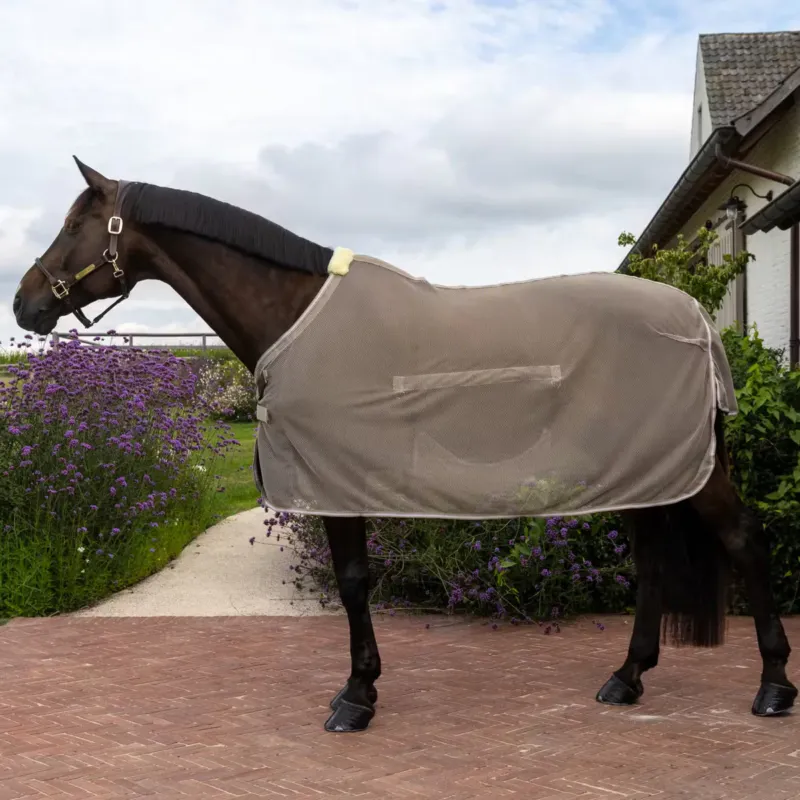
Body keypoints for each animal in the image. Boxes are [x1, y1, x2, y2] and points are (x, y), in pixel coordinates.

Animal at [12, 157, 796, 733]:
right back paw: (627, 678)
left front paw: (356, 697)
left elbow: (354, 582)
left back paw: (772, 686)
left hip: (684, 468)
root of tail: (697, 319)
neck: (295, 313)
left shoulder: (334, 478)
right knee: (655, 559)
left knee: (745, 540)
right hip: (645, 465)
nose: (24, 302)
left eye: (77, 224)